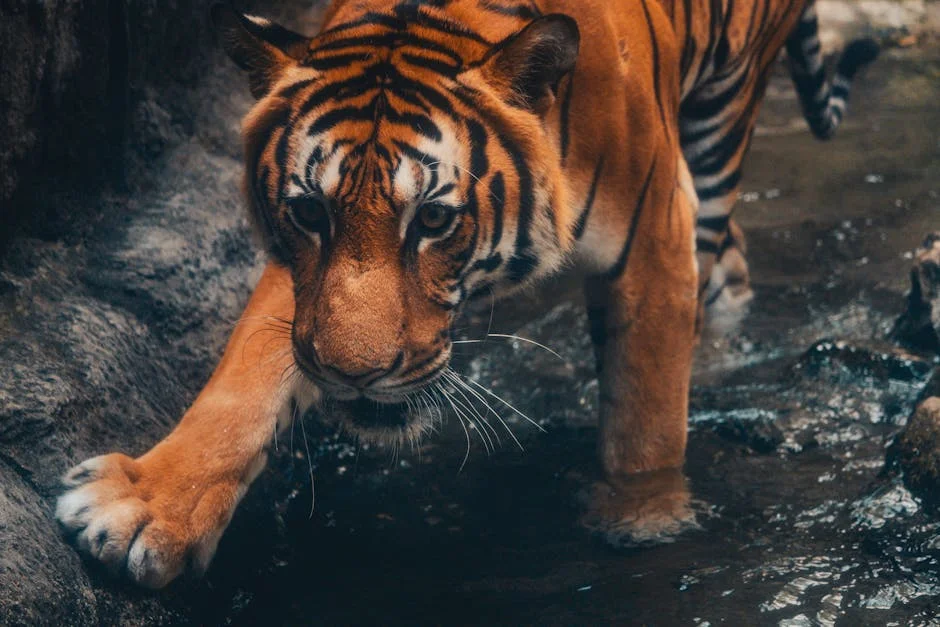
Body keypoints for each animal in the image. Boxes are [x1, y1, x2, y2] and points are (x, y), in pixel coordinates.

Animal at [55, 0, 877, 588]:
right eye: (310, 213)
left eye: (433, 219)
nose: (354, 375)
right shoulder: (302, 283)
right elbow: (244, 380)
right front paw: (144, 508)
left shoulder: (655, 238)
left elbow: (643, 417)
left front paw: (641, 520)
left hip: (721, 123)